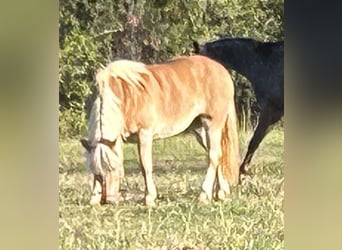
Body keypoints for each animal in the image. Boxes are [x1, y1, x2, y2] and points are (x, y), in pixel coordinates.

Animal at [80, 54, 240, 205]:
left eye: (114, 168)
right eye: (97, 173)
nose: (109, 200)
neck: (126, 96)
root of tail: (222, 70)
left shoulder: (144, 133)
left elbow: (145, 165)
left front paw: (149, 198)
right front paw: (94, 199)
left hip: (213, 124)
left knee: (214, 156)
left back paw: (204, 194)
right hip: (200, 130)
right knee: (217, 155)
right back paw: (221, 192)